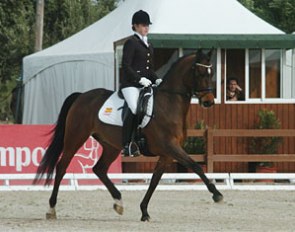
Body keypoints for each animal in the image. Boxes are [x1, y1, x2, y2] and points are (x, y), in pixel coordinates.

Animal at [34, 49, 224, 221]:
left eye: (212, 72)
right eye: (199, 72)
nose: (208, 101)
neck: (168, 104)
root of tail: (81, 96)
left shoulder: (166, 154)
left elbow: (155, 180)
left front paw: (144, 212)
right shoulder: (170, 147)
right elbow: (195, 166)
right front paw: (216, 194)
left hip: (111, 145)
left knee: (99, 169)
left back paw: (119, 203)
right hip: (75, 137)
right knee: (61, 167)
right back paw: (51, 209)